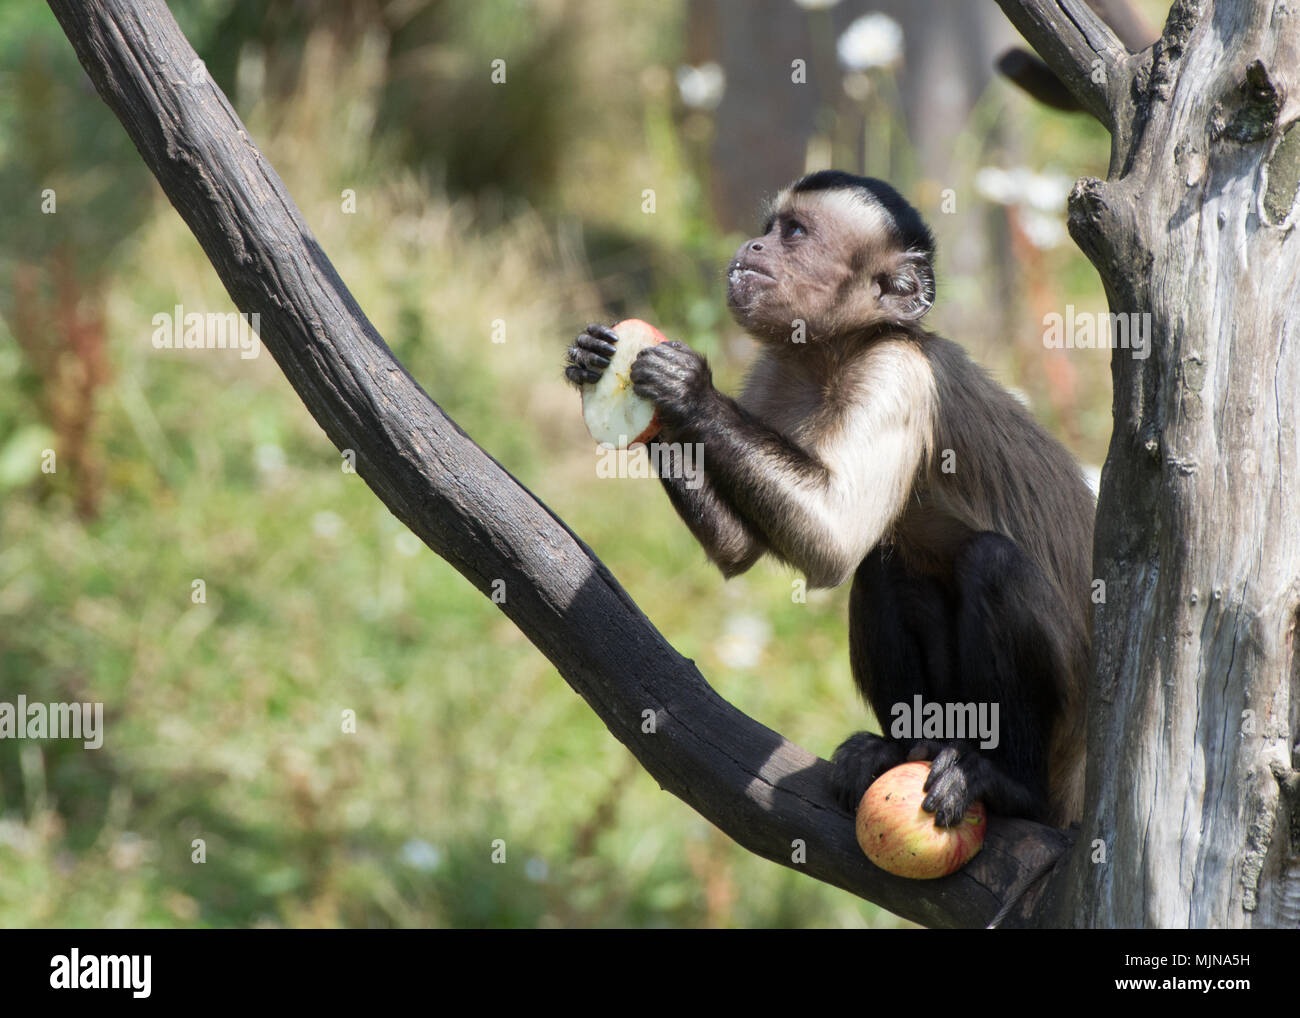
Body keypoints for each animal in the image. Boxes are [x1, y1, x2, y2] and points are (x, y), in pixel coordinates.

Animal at [564, 172, 1092, 826]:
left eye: (793, 233)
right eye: (770, 228)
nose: (754, 246)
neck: (837, 352)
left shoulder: (897, 374)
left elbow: (834, 542)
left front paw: (688, 391)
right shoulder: (773, 371)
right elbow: (741, 550)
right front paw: (607, 369)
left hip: (1063, 742)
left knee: (991, 564)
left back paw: (1009, 785)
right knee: (887, 567)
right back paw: (902, 746)